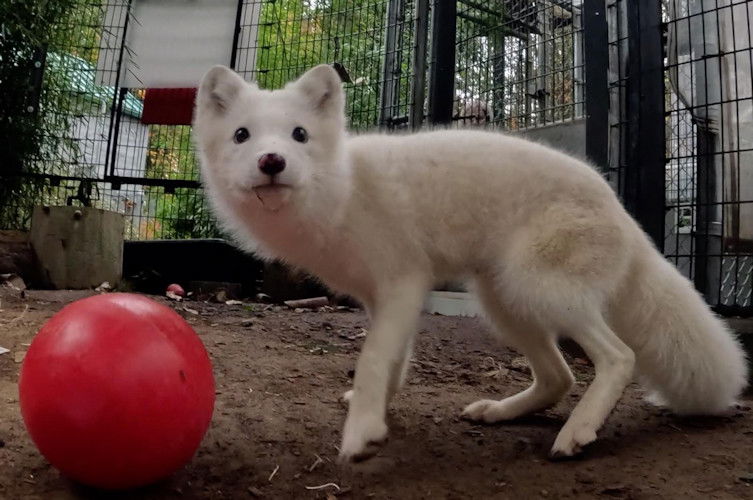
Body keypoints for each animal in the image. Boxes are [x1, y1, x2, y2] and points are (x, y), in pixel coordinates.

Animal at [192, 64, 748, 462]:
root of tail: (624, 213)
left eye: (299, 135)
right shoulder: (383, 297)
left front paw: (362, 434)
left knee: (618, 358)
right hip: (504, 303)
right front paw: (378, 413)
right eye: (242, 135)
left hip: (539, 291)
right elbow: (392, 361)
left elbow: (372, 360)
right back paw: (502, 412)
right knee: (559, 377)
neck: (343, 188)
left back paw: (577, 433)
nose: (272, 162)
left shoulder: (403, 282)